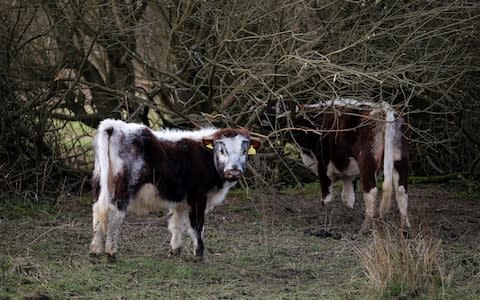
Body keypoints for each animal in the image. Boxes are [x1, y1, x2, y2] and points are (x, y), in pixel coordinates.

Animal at [88, 118, 260, 262]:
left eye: (244, 151)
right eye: (222, 150)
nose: (234, 171)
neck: (206, 156)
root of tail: (114, 125)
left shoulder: (181, 202)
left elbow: (177, 224)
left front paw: (175, 250)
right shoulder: (198, 197)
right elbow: (197, 226)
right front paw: (199, 253)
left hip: (99, 183)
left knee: (98, 212)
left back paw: (95, 251)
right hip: (123, 188)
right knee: (114, 214)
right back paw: (111, 252)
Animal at [264, 98, 410, 232]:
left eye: (276, 112)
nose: (264, 125)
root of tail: (384, 109)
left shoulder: (323, 166)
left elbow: (326, 197)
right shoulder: (347, 172)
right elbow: (348, 198)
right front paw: (348, 215)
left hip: (367, 161)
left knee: (371, 192)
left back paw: (364, 228)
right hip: (400, 159)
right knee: (401, 191)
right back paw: (405, 227)